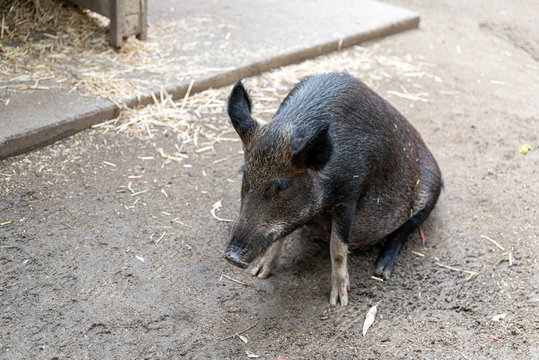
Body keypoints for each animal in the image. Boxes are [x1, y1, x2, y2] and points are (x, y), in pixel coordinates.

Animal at [221, 71, 440, 306]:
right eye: (244, 174)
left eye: (282, 186)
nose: (231, 256)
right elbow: (281, 234)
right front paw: (259, 273)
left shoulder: (349, 195)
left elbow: (338, 247)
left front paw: (339, 301)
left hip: (431, 192)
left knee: (404, 230)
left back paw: (382, 270)